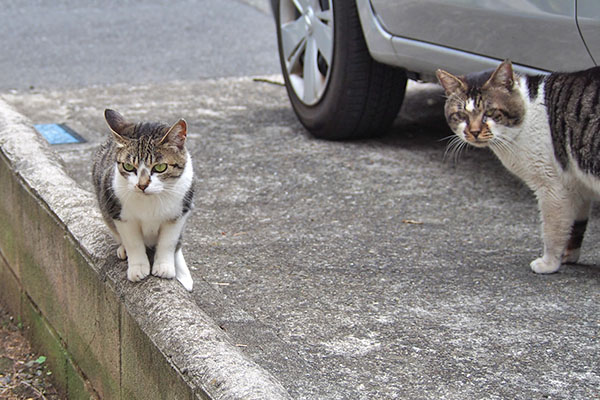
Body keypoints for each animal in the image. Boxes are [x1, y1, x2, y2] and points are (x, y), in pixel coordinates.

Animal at [92, 109, 195, 290]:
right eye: (128, 167)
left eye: (160, 167)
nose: (141, 185)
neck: (151, 200)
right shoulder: (119, 212)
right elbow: (133, 242)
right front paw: (138, 268)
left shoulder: (179, 213)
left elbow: (168, 242)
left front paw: (164, 267)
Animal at [436, 60, 600, 276]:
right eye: (461, 115)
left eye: (490, 113)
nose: (474, 132)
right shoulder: (578, 185)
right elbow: (576, 227)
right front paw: (567, 257)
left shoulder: (553, 189)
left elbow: (552, 230)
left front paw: (549, 263)